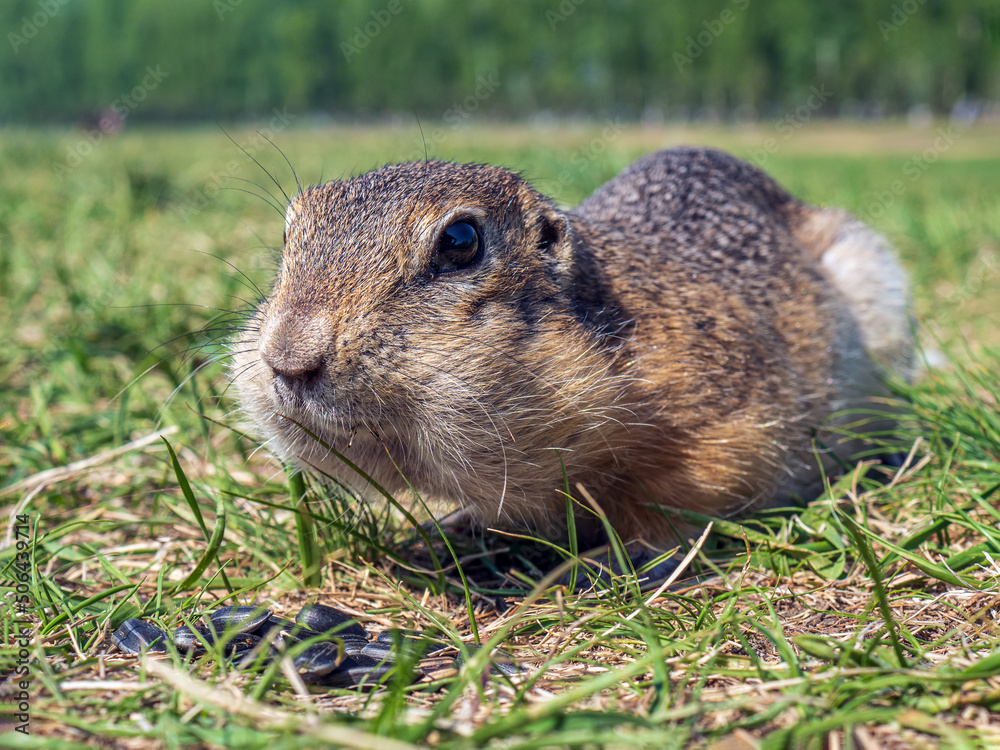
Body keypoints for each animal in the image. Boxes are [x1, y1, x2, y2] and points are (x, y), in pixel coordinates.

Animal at [232, 148, 916, 576]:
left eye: (460, 241)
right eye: (290, 233)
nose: (287, 362)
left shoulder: (724, 420)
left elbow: (683, 505)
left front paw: (612, 558)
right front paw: (449, 526)